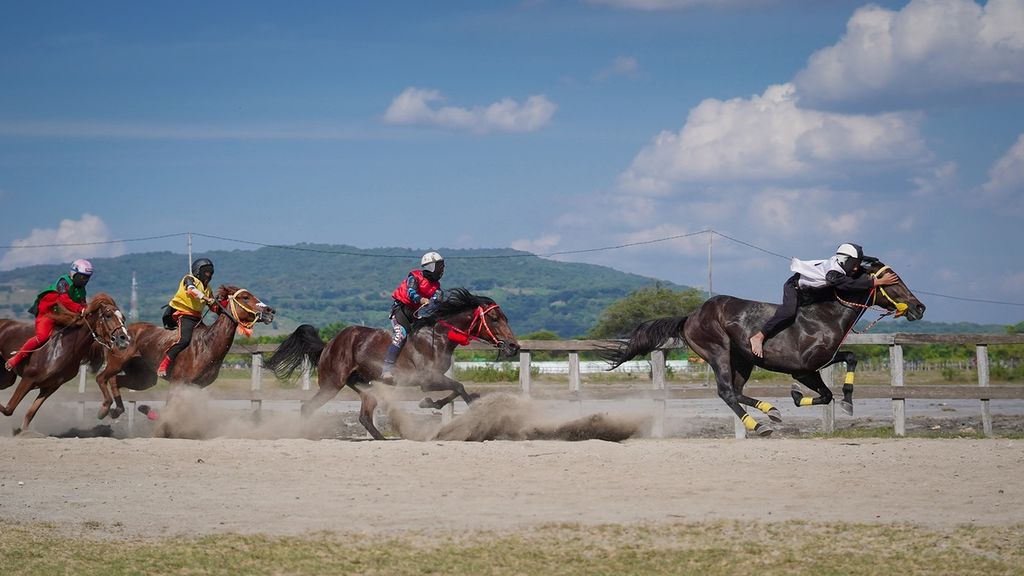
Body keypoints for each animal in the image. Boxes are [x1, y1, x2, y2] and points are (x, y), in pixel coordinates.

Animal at [0, 293, 132, 432]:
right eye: (108, 315)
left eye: (123, 318)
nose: (124, 339)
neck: (63, 347)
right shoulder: (28, 379)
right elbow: (9, 409)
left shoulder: (51, 386)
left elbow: (30, 413)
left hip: (7, 379)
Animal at [92, 284, 274, 416]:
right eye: (245, 297)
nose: (270, 311)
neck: (207, 345)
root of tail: (118, 333)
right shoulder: (177, 383)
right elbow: (169, 408)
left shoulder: (197, 386)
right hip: (116, 363)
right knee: (102, 378)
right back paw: (105, 409)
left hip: (144, 377)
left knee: (116, 381)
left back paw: (117, 410)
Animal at [264, 286, 520, 438]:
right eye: (494, 318)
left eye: (506, 317)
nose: (513, 346)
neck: (438, 335)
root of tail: (328, 345)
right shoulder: (428, 379)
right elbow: (460, 387)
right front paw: (474, 407)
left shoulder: (432, 379)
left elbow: (455, 390)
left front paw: (431, 403)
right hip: (332, 383)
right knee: (308, 407)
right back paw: (303, 433)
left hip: (364, 385)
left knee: (365, 417)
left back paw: (383, 439)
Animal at [602, 260, 925, 434]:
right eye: (893, 281)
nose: (919, 308)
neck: (823, 316)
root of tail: (690, 316)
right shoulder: (803, 369)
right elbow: (827, 389)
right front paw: (808, 397)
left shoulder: (817, 364)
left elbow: (842, 371)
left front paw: (835, 400)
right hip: (717, 351)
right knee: (726, 391)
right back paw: (758, 425)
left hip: (743, 360)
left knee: (735, 390)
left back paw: (771, 411)